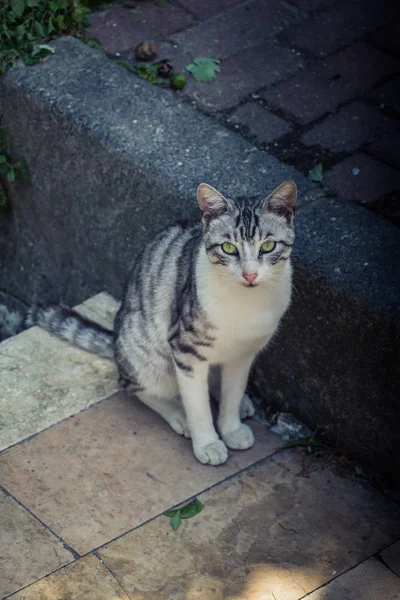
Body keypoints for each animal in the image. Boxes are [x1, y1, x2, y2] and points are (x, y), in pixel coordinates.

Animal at [26, 180, 296, 466]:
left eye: (268, 246)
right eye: (229, 248)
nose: (249, 275)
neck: (245, 305)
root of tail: (116, 339)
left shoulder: (243, 354)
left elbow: (232, 392)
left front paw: (231, 427)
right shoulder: (185, 348)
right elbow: (197, 404)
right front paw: (207, 443)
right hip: (147, 354)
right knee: (137, 386)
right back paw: (178, 414)